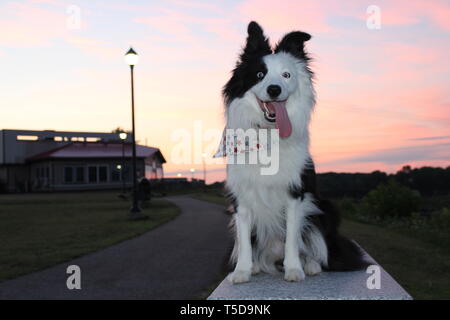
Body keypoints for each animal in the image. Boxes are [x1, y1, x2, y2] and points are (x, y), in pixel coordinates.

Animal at [223, 21, 368, 282]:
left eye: (286, 75)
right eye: (259, 75)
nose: (274, 89)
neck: (269, 135)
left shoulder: (295, 194)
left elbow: (292, 238)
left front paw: (293, 269)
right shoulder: (241, 198)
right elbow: (245, 240)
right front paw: (242, 271)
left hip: (324, 209)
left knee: (317, 246)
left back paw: (311, 265)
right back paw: (258, 265)